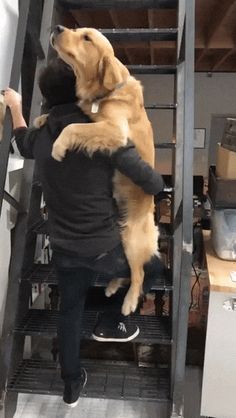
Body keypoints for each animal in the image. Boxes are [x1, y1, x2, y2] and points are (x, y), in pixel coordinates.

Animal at [50, 25, 159, 314]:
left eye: (86, 37)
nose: (57, 27)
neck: (104, 91)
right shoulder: (91, 114)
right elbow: (74, 117)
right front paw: (41, 120)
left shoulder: (115, 130)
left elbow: (72, 126)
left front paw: (58, 145)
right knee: (127, 272)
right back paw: (111, 286)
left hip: (131, 239)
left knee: (138, 274)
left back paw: (129, 302)